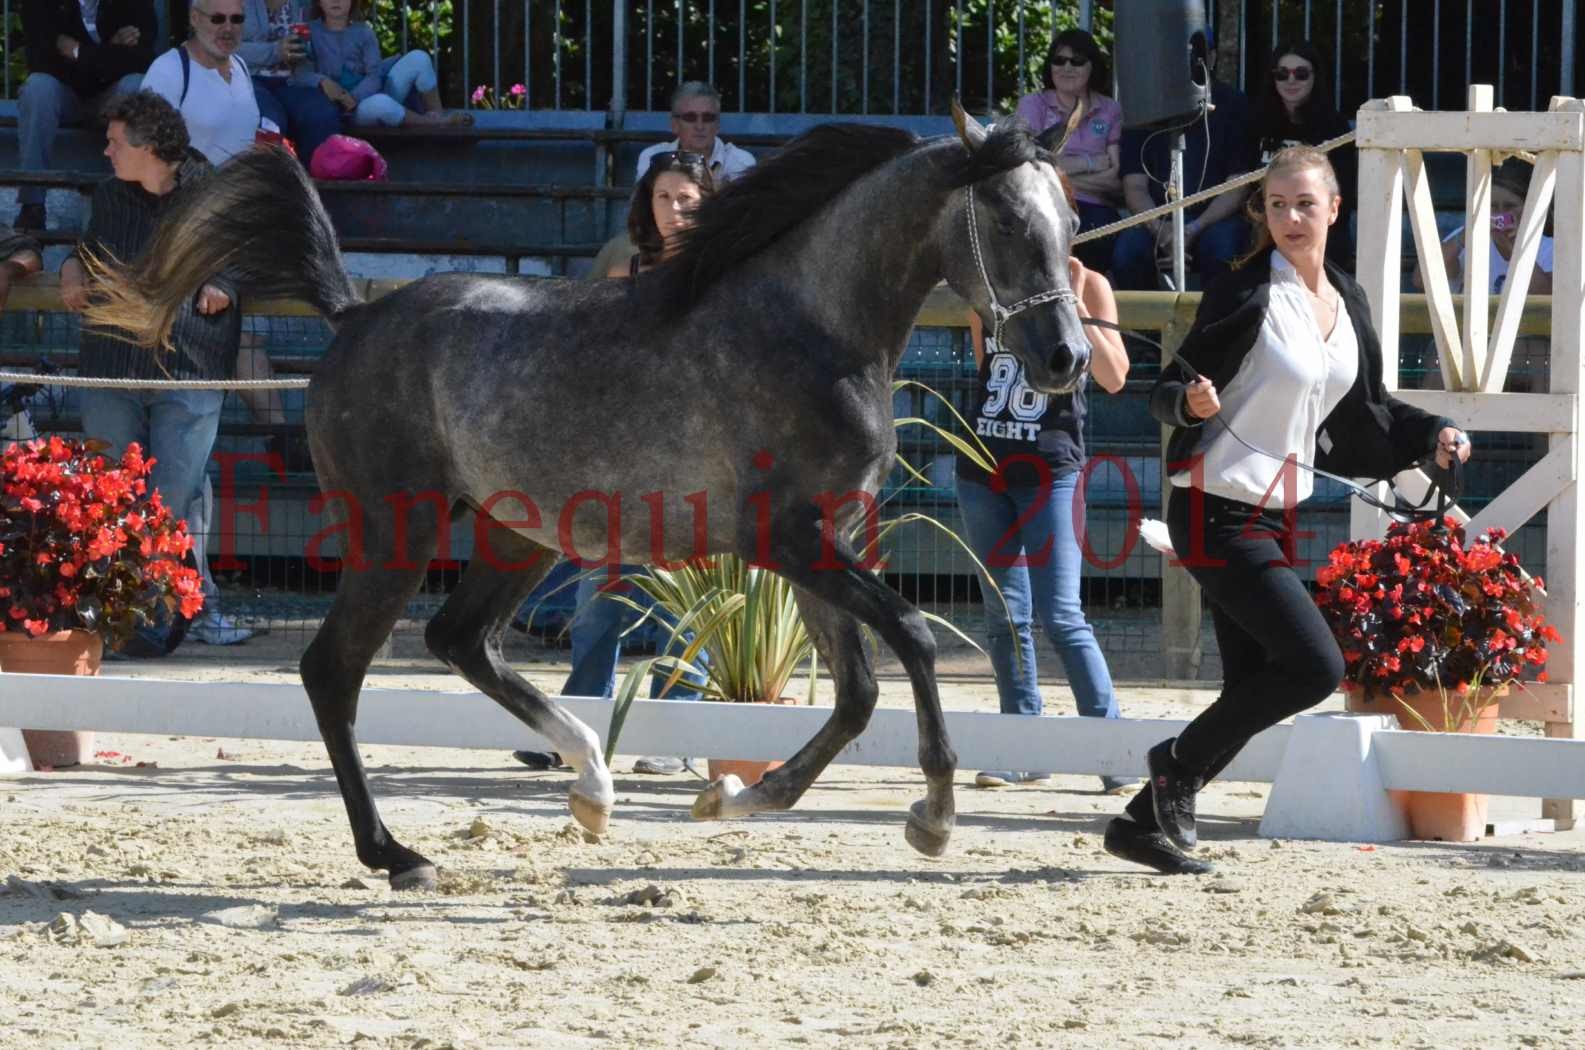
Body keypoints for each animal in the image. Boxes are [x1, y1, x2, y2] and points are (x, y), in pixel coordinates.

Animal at [83, 104, 1090, 888]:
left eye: (1070, 217)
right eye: (1006, 220)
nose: (1066, 359)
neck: (810, 327)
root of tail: (356, 316)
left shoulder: (824, 540)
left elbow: (853, 695)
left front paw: (737, 795)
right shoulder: (787, 541)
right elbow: (911, 640)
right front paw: (932, 819)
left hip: (515, 535)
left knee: (459, 641)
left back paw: (591, 787)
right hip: (396, 533)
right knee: (335, 670)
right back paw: (398, 854)